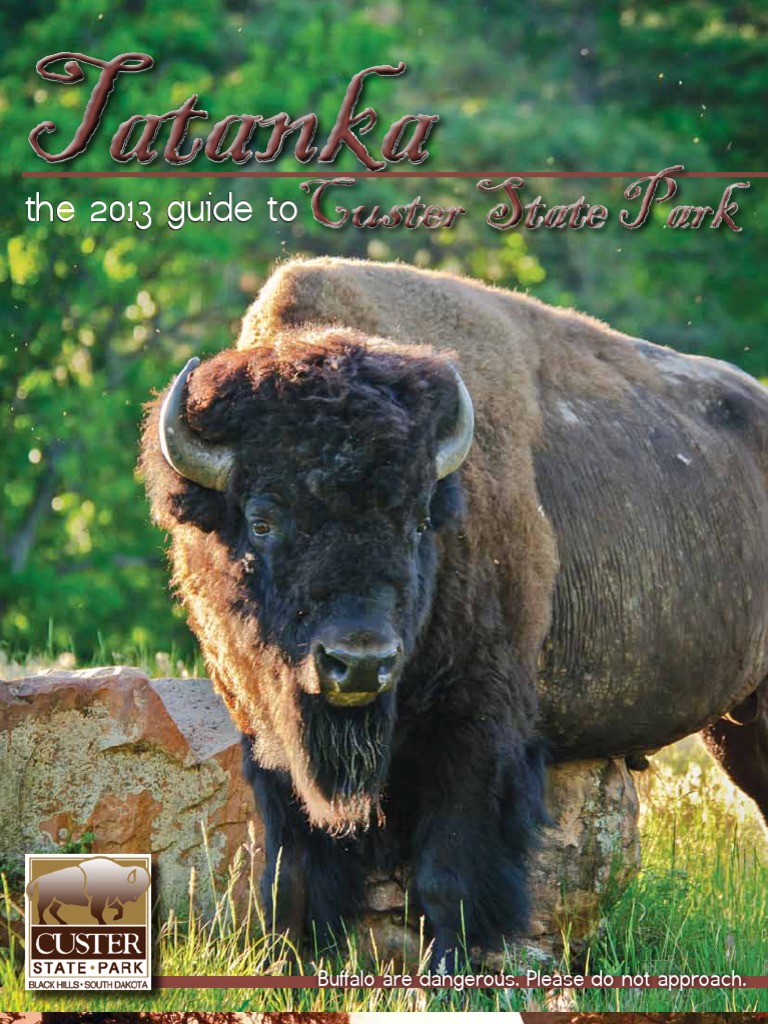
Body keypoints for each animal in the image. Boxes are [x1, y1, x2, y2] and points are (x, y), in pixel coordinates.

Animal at [141, 257, 768, 970]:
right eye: (262, 520)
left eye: (418, 520)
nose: (359, 662)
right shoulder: (266, 735)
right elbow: (295, 867)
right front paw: (294, 961)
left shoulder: (476, 726)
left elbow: (449, 870)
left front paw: (452, 967)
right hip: (731, 723)